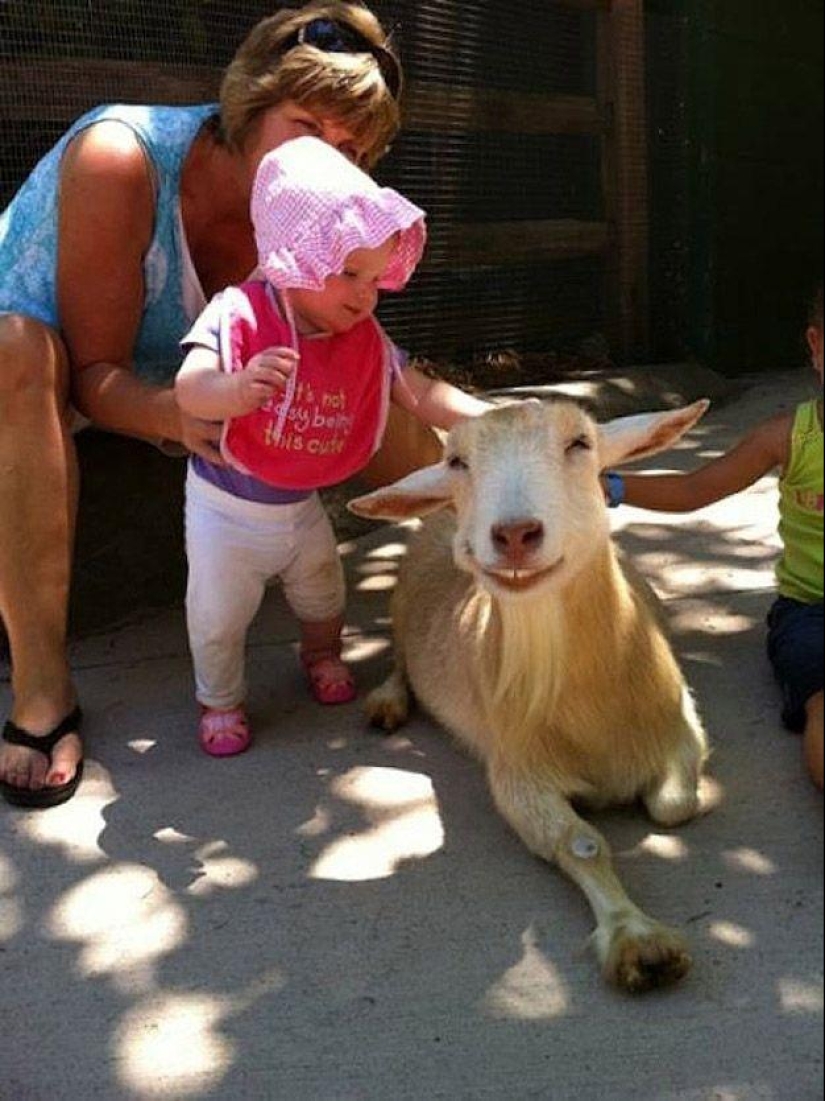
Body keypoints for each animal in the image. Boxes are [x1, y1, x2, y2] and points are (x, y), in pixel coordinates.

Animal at [349, 398, 711, 994]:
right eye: (457, 461)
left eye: (580, 443)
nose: (515, 533)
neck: (594, 706)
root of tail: (439, 515)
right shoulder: (517, 769)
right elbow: (581, 842)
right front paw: (637, 939)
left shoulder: (682, 727)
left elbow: (674, 807)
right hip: (401, 616)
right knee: (400, 661)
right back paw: (386, 703)